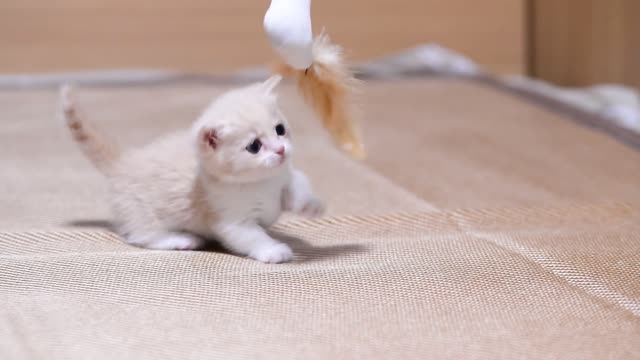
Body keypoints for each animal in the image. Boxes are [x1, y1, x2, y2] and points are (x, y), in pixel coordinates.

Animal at [60, 75, 324, 264]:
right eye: (254, 146)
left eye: (280, 129)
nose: (280, 150)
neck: (260, 182)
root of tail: (125, 160)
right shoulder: (231, 218)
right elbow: (250, 236)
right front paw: (273, 250)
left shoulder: (283, 176)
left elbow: (297, 181)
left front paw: (310, 204)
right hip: (139, 211)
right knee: (144, 235)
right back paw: (181, 239)